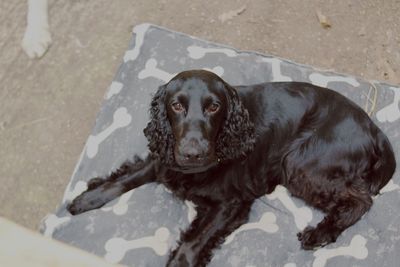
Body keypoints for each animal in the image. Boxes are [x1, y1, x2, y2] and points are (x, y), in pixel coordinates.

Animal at [67, 70, 396, 266]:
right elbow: (123, 179)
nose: (193, 154)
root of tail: (374, 129)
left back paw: (319, 234)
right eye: (176, 105)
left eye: (214, 106)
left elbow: (191, 245)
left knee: (361, 200)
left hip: (301, 163)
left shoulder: (231, 204)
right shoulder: (165, 159)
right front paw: (86, 198)